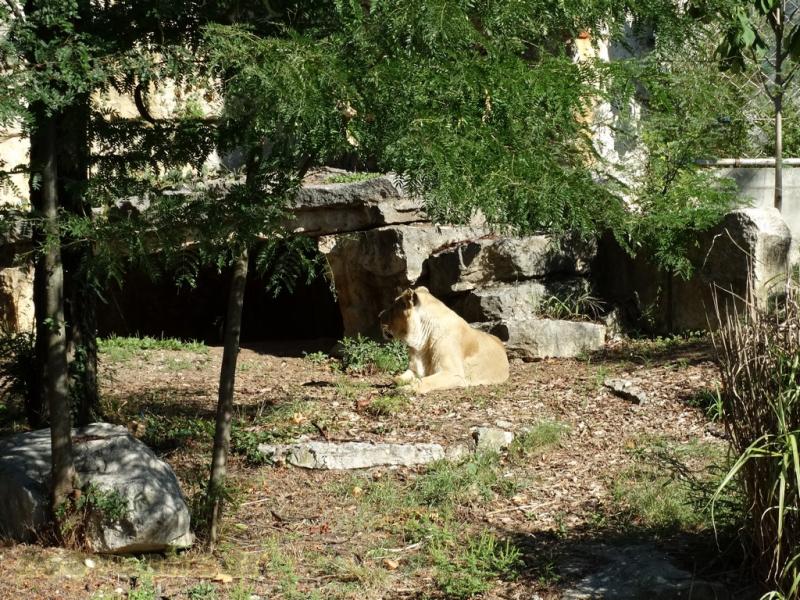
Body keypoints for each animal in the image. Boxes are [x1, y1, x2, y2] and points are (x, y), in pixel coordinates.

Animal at [378, 286, 509, 394]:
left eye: (392, 309)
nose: (379, 316)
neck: (420, 342)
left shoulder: (454, 373)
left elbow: (425, 381)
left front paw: (402, 390)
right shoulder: (414, 369)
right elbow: (397, 378)